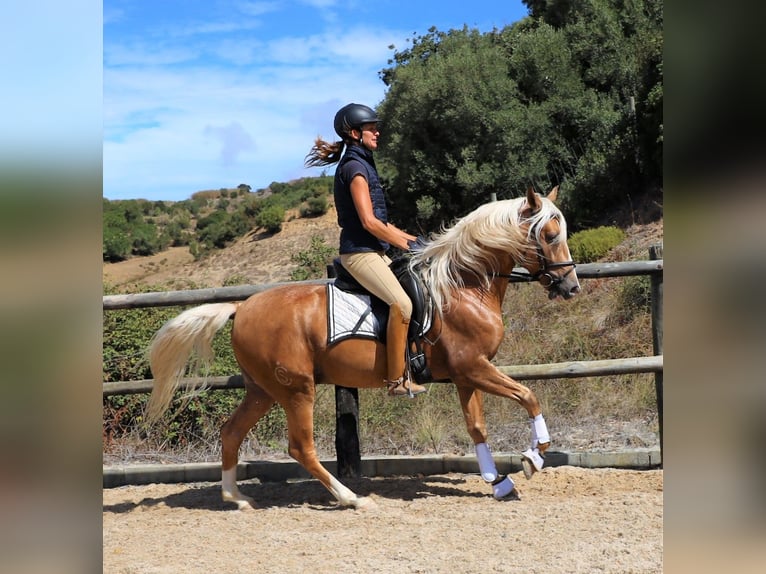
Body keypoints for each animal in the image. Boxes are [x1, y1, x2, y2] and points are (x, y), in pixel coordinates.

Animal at [147, 187, 584, 510]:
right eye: (549, 236)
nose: (571, 287)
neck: (463, 286)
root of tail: (241, 308)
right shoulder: (474, 367)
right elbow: (528, 396)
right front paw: (533, 458)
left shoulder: (466, 374)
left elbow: (477, 427)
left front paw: (498, 483)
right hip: (297, 389)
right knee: (300, 447)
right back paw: (351, 498)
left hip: (263, 390)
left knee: (232, 432)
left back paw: (236, 497)